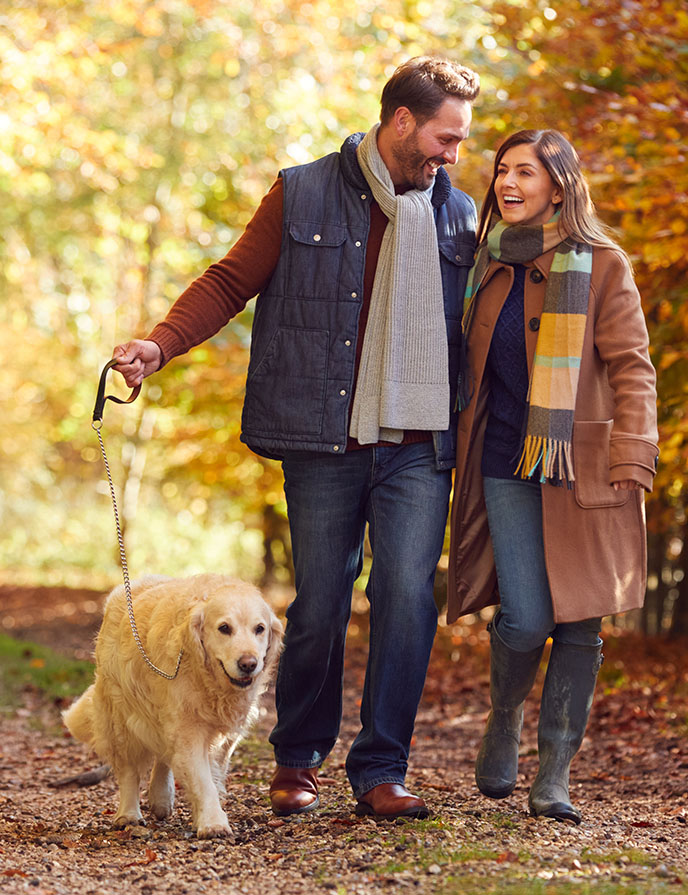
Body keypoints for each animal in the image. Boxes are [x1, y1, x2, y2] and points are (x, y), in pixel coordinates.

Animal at [62, 576, 282, 840]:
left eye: (259, 628)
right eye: (224, 628)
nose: (249, 664)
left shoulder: (225, 736)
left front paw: (202, 816)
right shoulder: (188, 730)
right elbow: (202, 780)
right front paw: (213, 823)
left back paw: (161, 798)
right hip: (120, 717)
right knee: (128, 770)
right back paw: (129, 814)